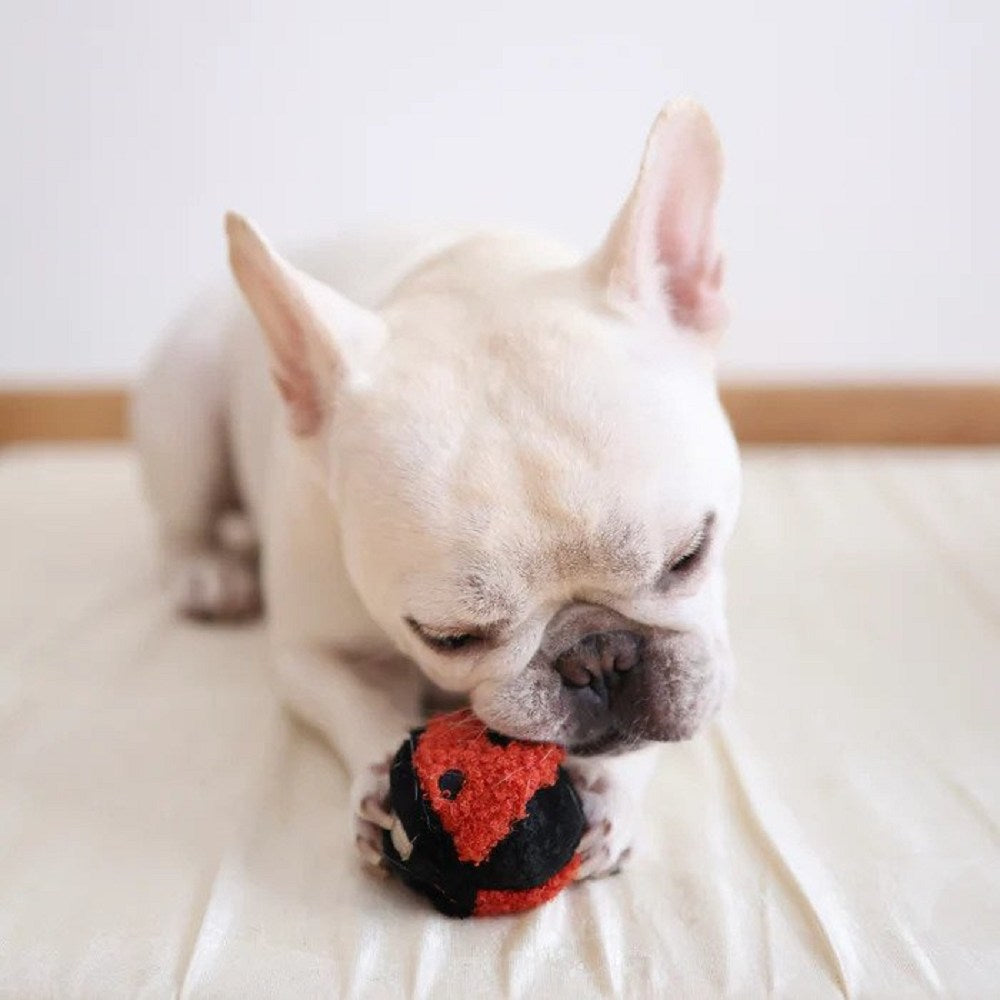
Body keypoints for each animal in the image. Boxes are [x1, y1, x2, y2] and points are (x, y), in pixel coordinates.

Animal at [132, 99, 741, 880]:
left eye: (690, 556)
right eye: (450, 638)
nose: (598, 655)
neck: (464, 276)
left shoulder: (710, 644)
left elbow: (675, 715)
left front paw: (611, 790)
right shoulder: (309, 653)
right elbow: (355, 700)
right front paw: (379, 786)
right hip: (184, 406)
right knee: (180, 519)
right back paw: (207, 572)